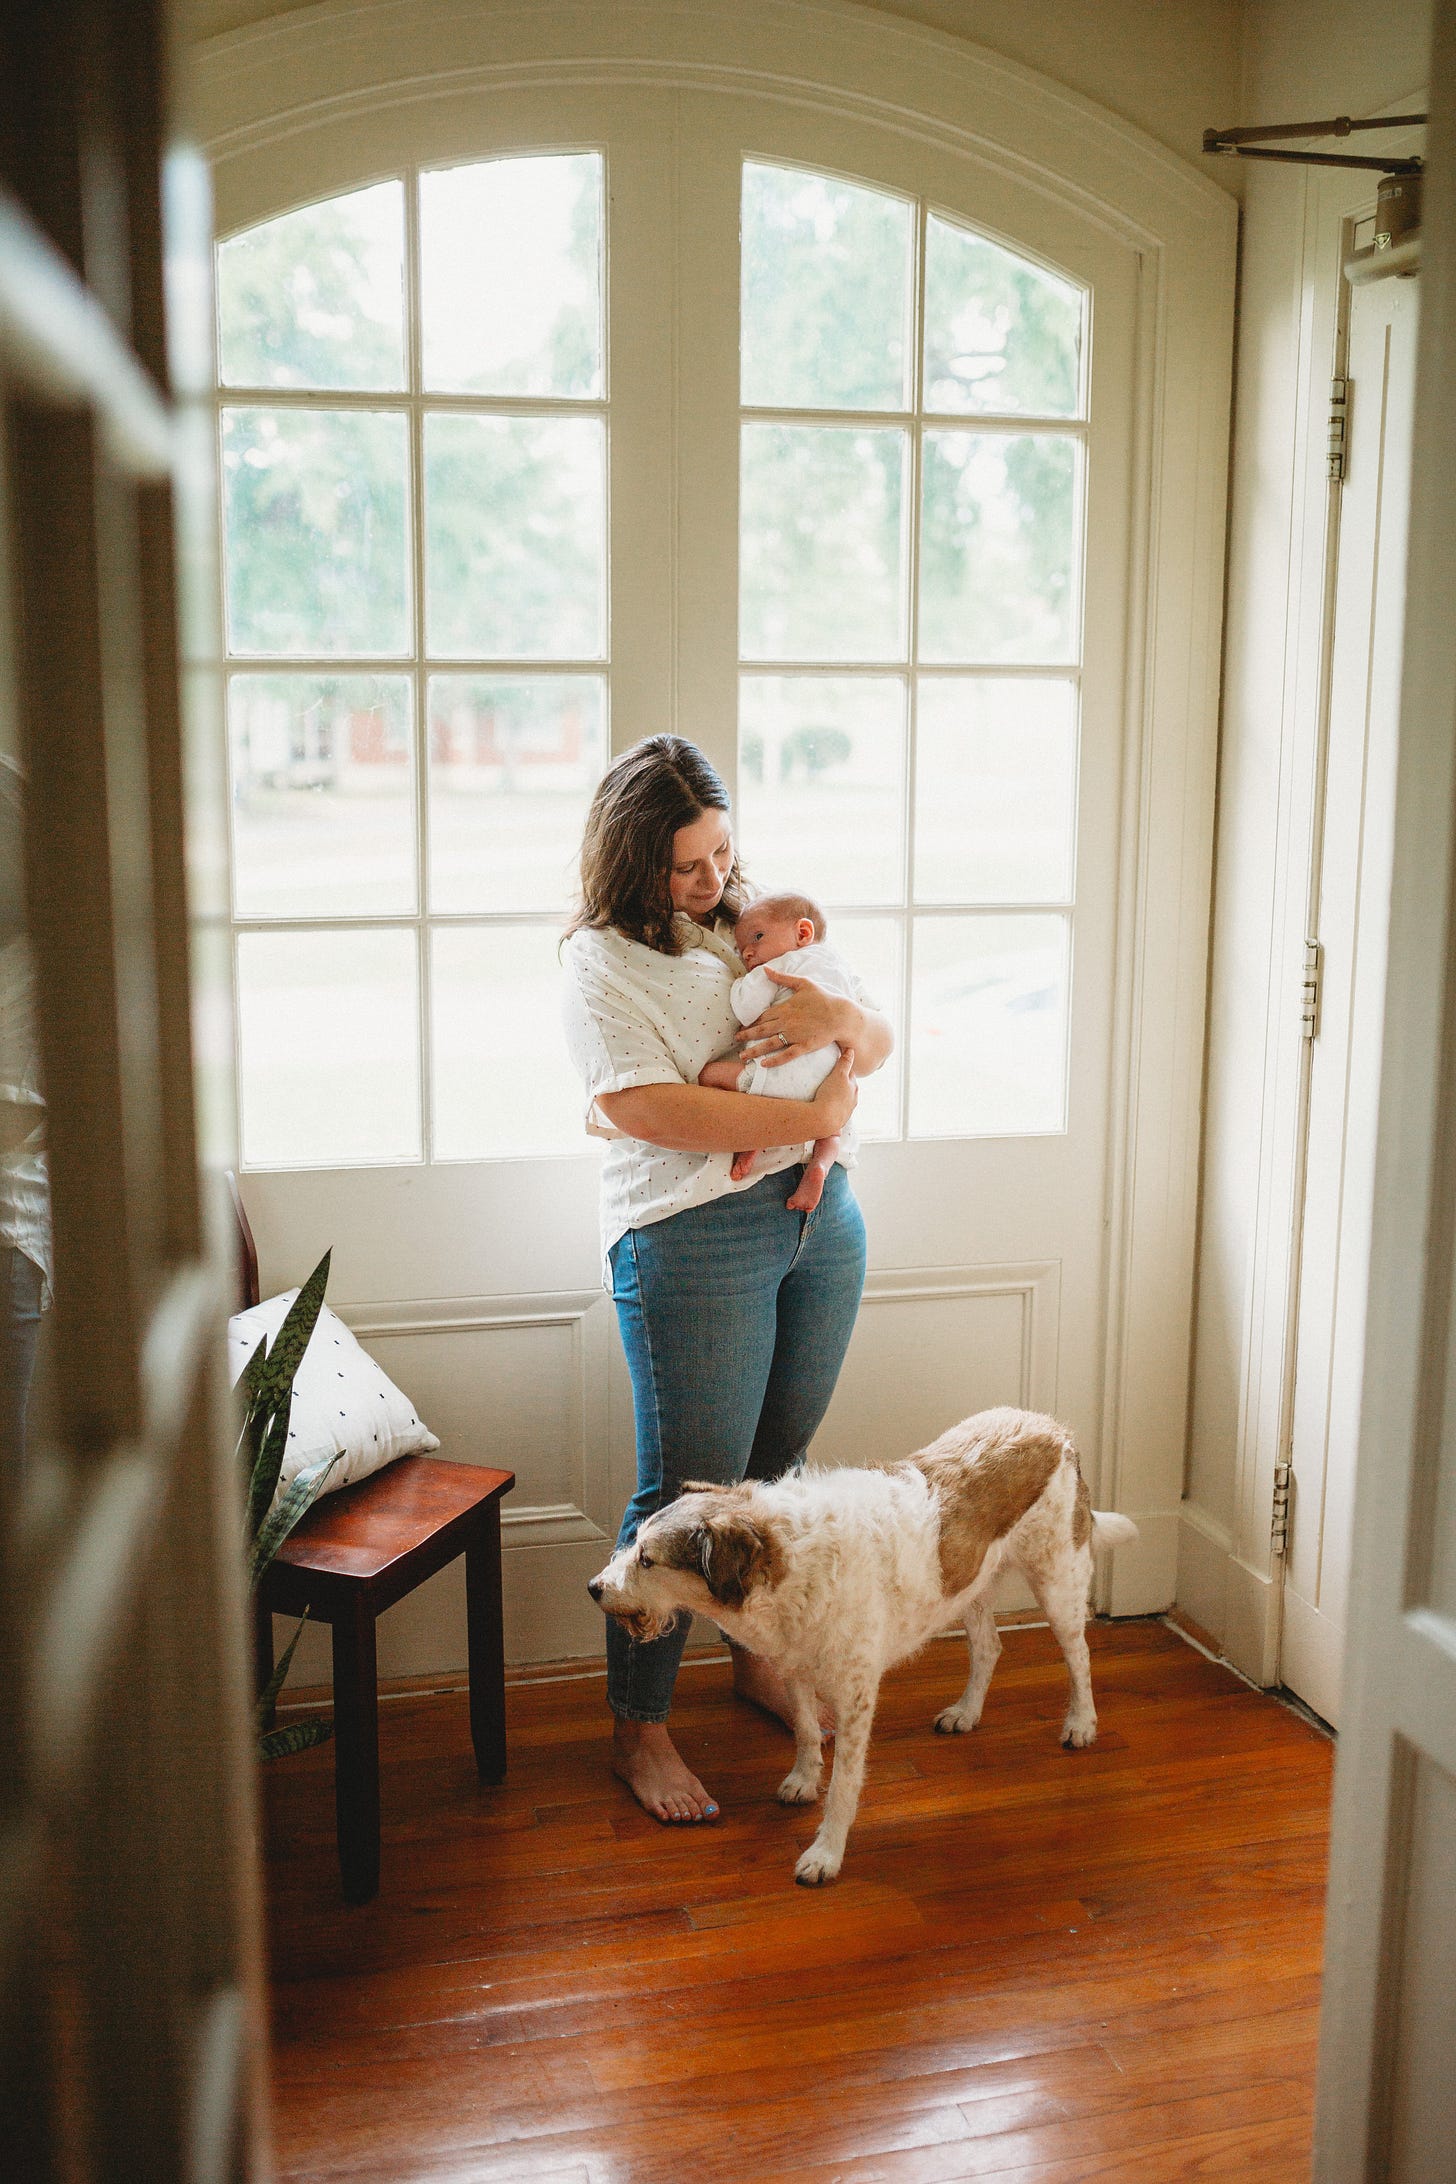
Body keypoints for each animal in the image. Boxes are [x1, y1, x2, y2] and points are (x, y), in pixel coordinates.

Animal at [585, 1406, 1143, 1886]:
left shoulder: (856, 1695)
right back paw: (966, 1712)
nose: (593, 1588)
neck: (791, 1560)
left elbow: (845, 1784)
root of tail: (1052, 1427)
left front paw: (826, 1853)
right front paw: (803, 1780)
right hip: (967, 1583)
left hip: (1058, 1580)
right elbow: (806, 1732)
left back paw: (1081, 1723)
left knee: (1079, 1655)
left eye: (649, 1559)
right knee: (988, 1648)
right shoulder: (795, 1666)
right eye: (635, 1545)